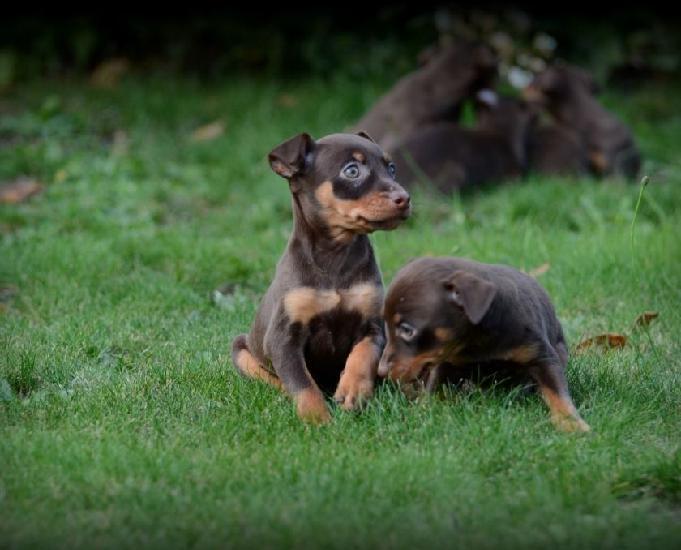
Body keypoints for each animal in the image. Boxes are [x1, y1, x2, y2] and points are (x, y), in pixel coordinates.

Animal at [231, 132, 410, 424]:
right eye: (352, 171)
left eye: (391, 168)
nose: (405, 198)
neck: (335, 255)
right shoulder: (283, 338)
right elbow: (302, 382)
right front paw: (318, 420)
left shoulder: (373, 325)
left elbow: (364, 355)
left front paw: (352, 390)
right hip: (241, 349)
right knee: (274, 378)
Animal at [378, 258, 588, 436]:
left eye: (407, 330)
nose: (380, 371)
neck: (475, 341)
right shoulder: (444, 362)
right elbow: (432, 391)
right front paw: (421, 413)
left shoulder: (541, 356)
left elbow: (557, 392)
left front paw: (571, 423)